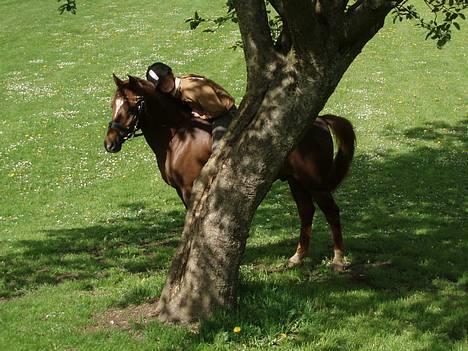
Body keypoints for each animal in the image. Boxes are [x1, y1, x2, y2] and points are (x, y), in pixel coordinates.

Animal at [105, 75, 354, 270]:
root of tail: (320, 120)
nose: (109, 143)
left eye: (129, 106)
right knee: (306, 211)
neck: (179, 135)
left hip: (314, 181)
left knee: (331, 211)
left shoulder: (189, 188)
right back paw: (297, 257)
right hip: (296, 181)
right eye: (112, 105)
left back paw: (338, 259)